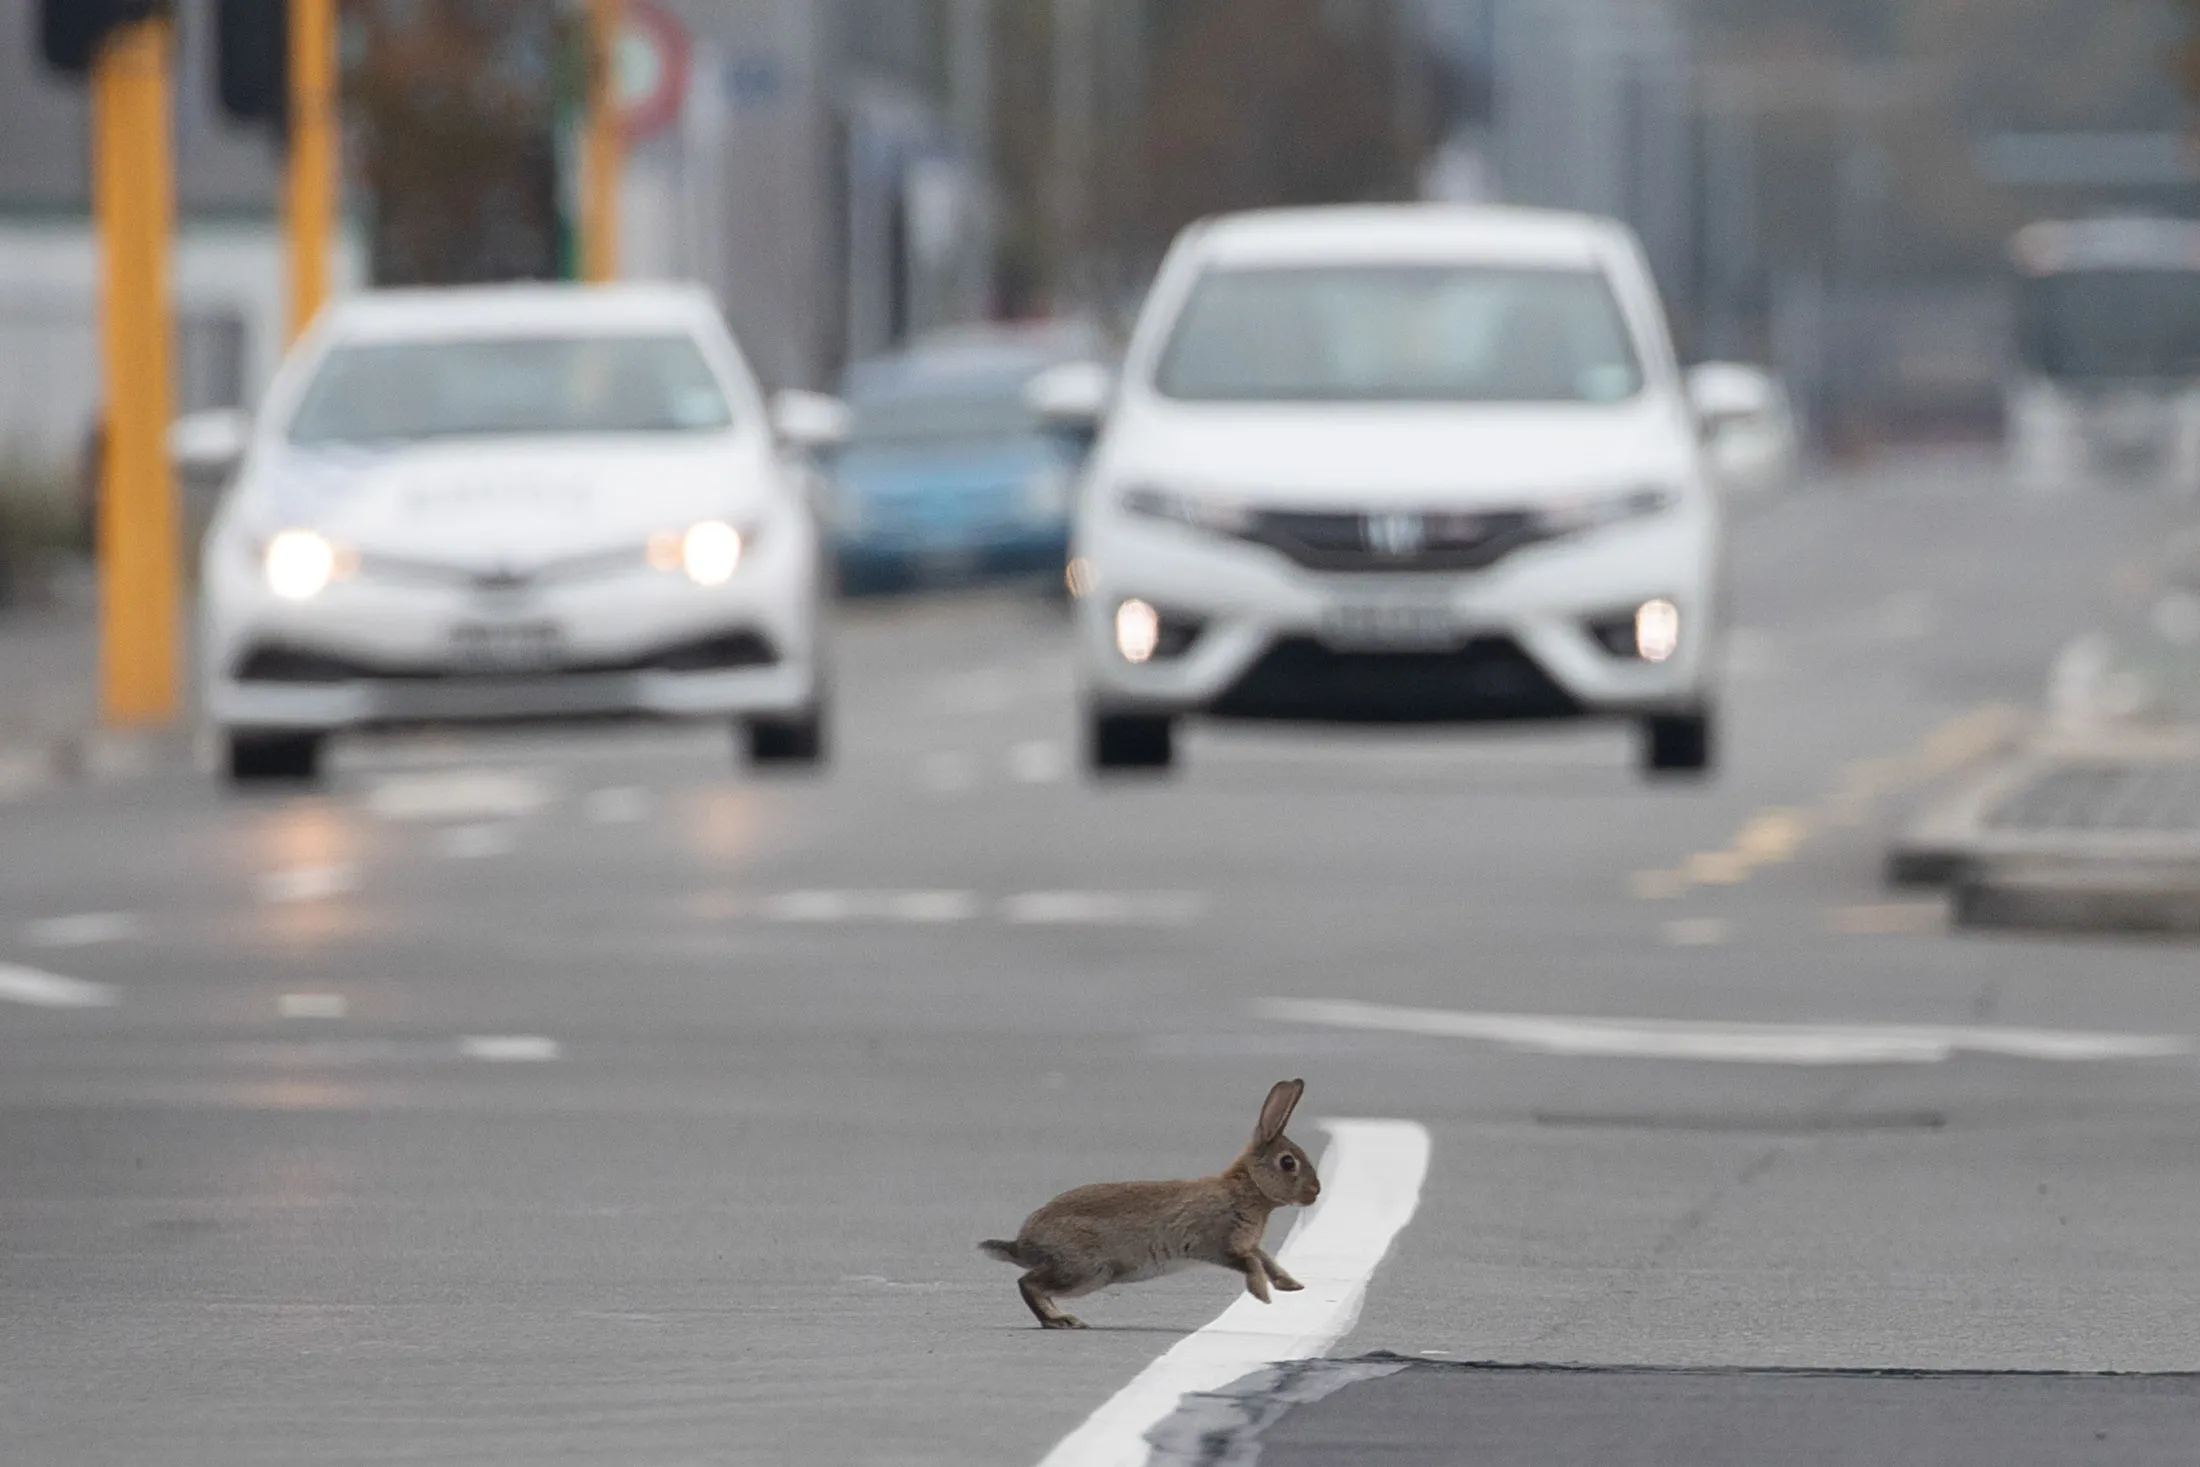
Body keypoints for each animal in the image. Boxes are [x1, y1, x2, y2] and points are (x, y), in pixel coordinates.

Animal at [979, 1078, 1322, 1329]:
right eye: (1288, 1163)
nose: (1315, 1191)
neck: (1246, 1189)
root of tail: (1023, 1245)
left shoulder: (1245, 1243)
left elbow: (1264, 1259)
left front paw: (1291, 1286)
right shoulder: (1216, 1243)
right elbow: (1250, 1262)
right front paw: (1262, 1295)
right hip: (1087, 1271)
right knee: (1028, 1283)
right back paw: (1060, 1321)